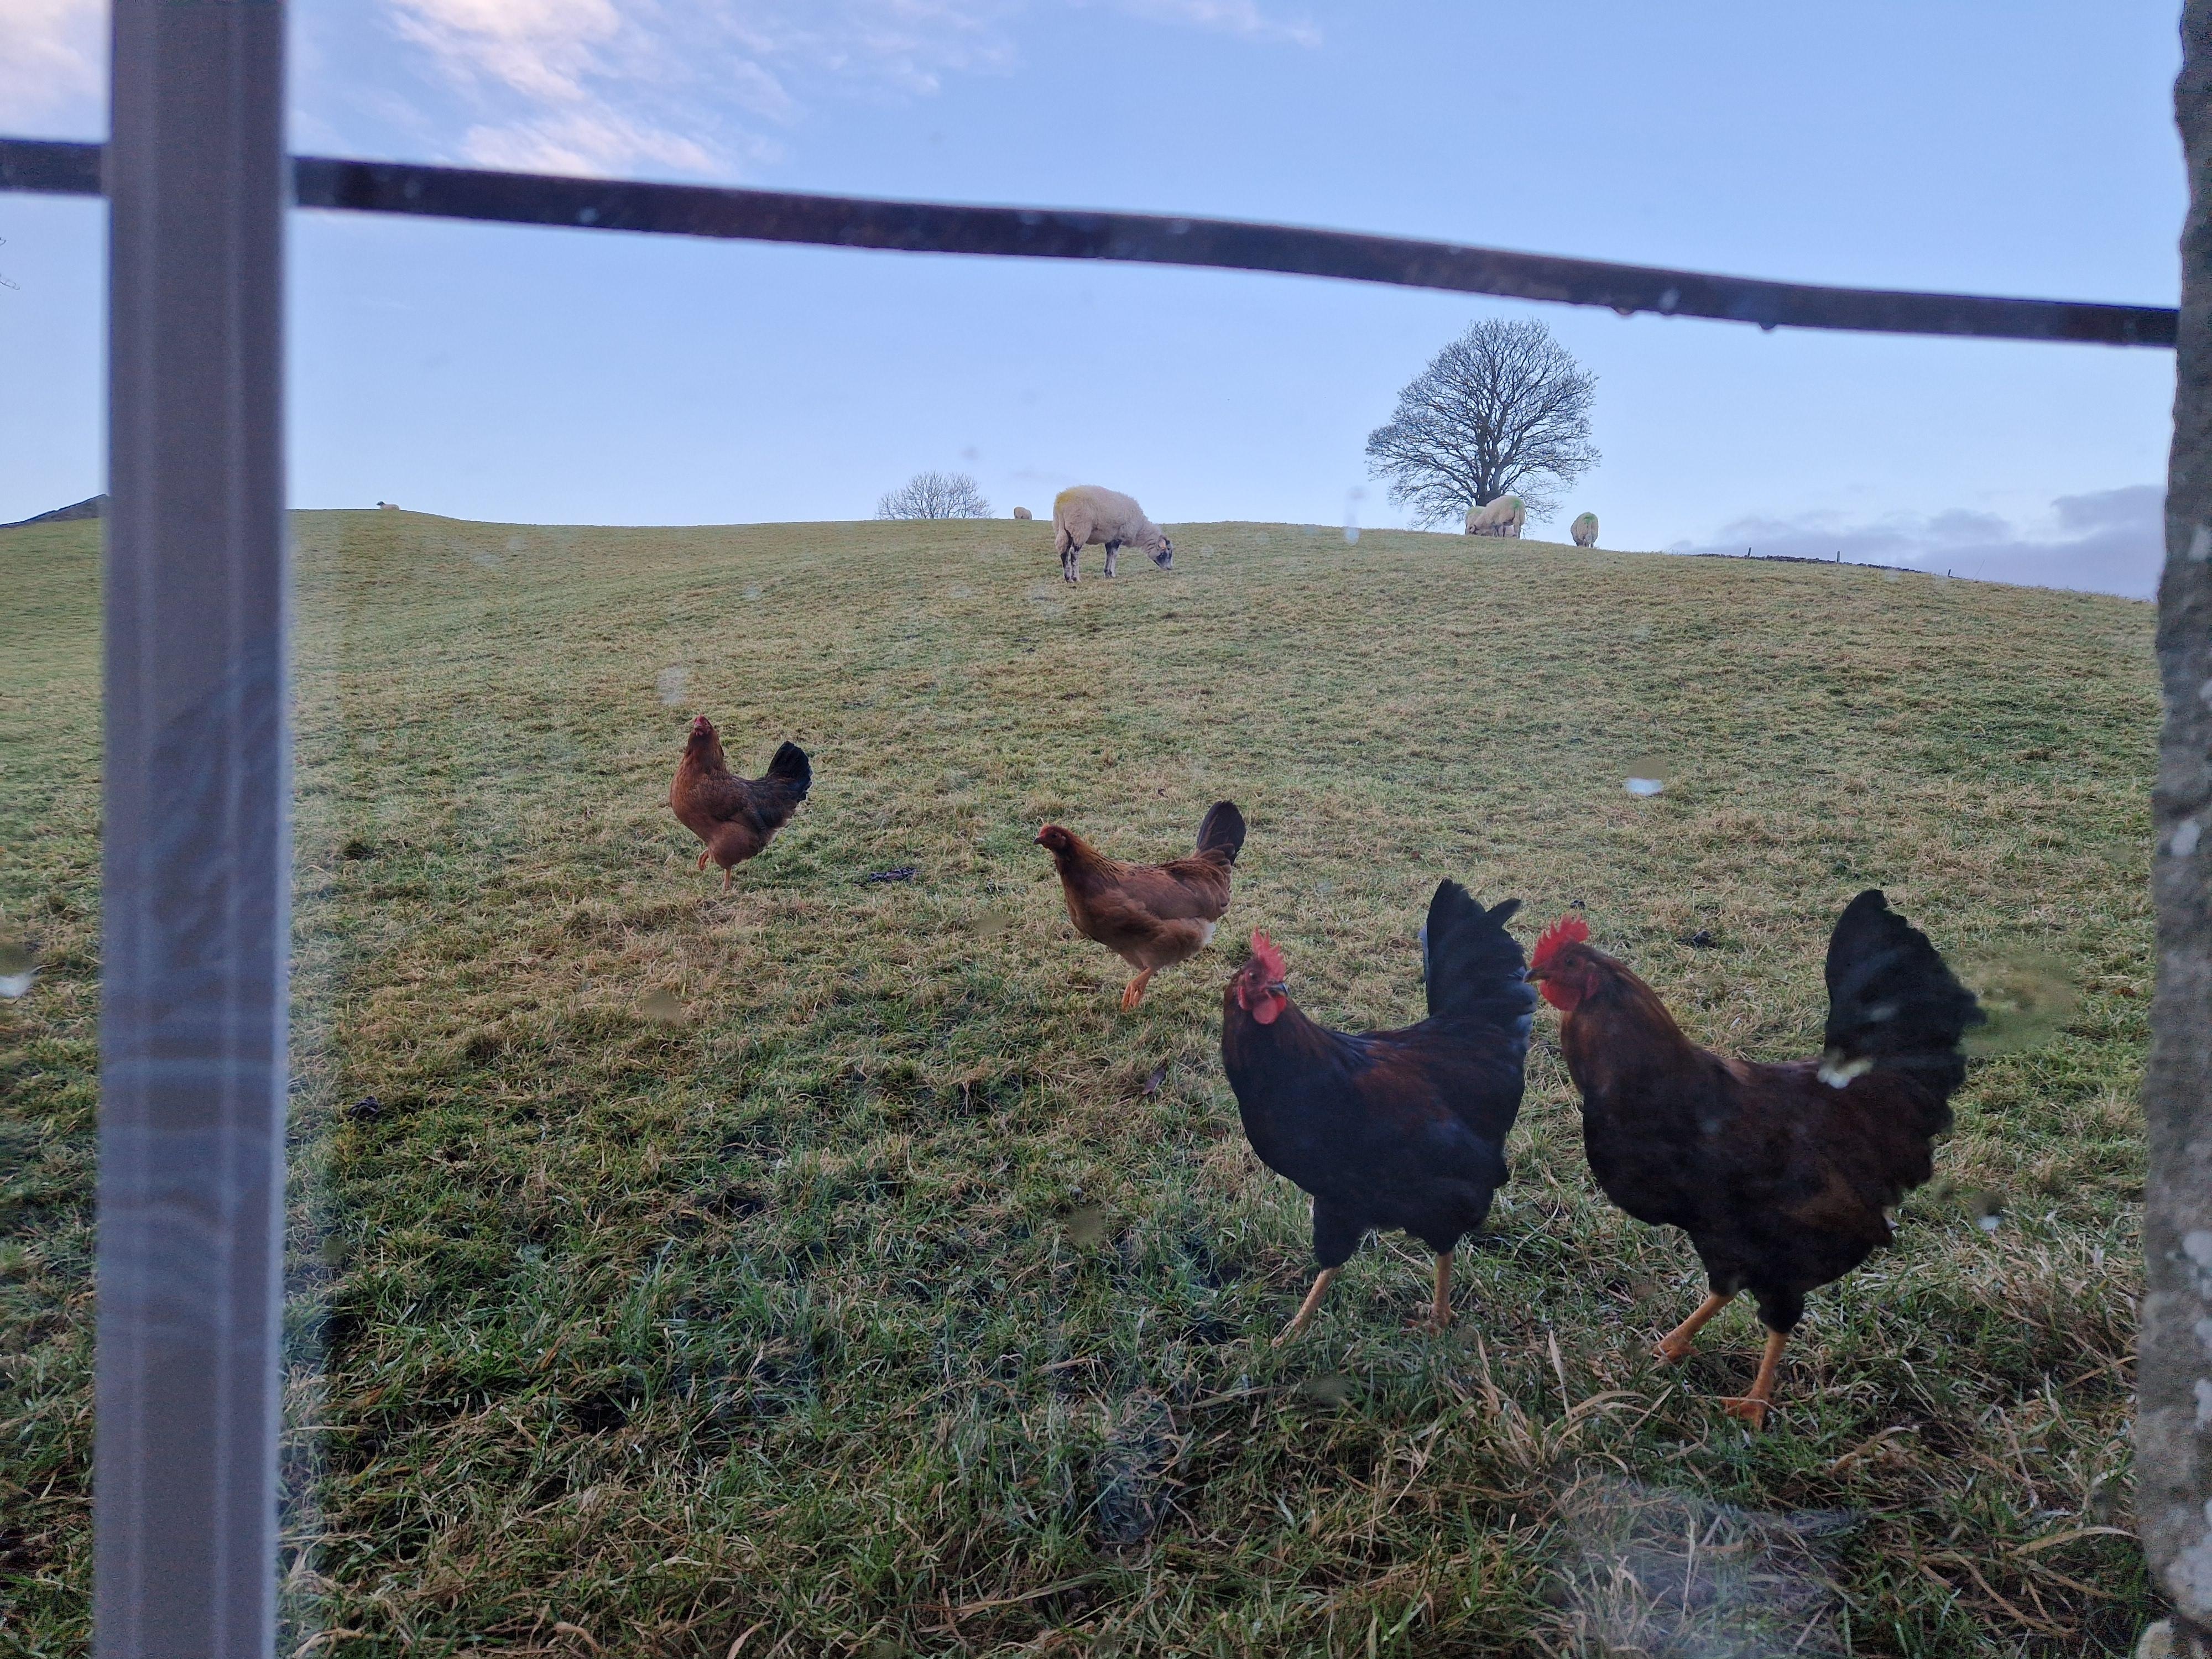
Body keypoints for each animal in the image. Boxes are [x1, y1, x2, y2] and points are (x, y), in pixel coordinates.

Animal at [1052, 486, 1173, 584]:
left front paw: (1107, 573)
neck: (1140, 530)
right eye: (1166, 552)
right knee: (1074, 553)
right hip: (1079, 529)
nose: (1170, 568)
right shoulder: (1118, 538)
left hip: (1063, 529)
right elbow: (1114, 555)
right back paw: (1076, 578)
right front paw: (1112, 573)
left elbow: (1109, 555)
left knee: (1064, 552)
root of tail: (1061, 502)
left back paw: (1068, 578)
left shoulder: (1110, 539)